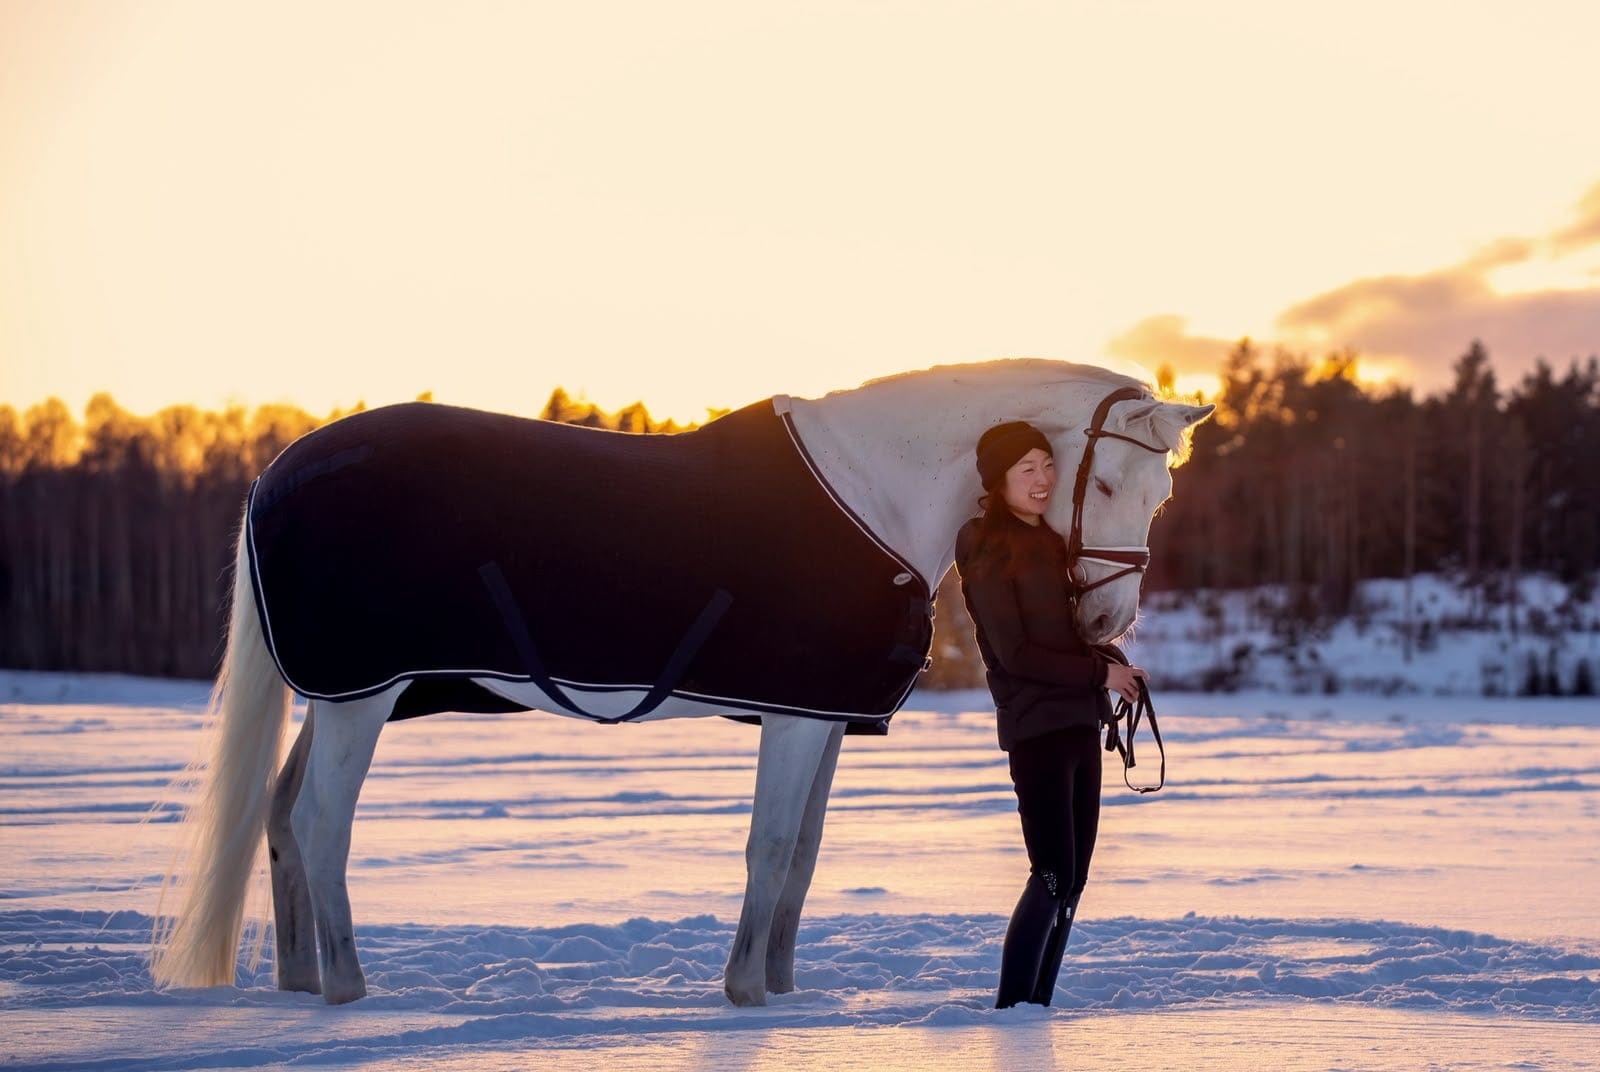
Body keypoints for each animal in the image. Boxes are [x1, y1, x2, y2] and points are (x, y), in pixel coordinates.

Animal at [147, 358, 1213, 1006]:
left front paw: (782, 991)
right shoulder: (792, 718)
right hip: (362, 700)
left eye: (1163, 494)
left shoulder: (823, 718)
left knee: (280, 817)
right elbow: (770, 848)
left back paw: (297, 983)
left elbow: (804, 856)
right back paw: (348, 991)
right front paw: (743, 991)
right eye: (1103, 484)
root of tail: (274, 472)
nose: (1105, 631)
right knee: (322, 823)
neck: (874, 494)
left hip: (339, 696)